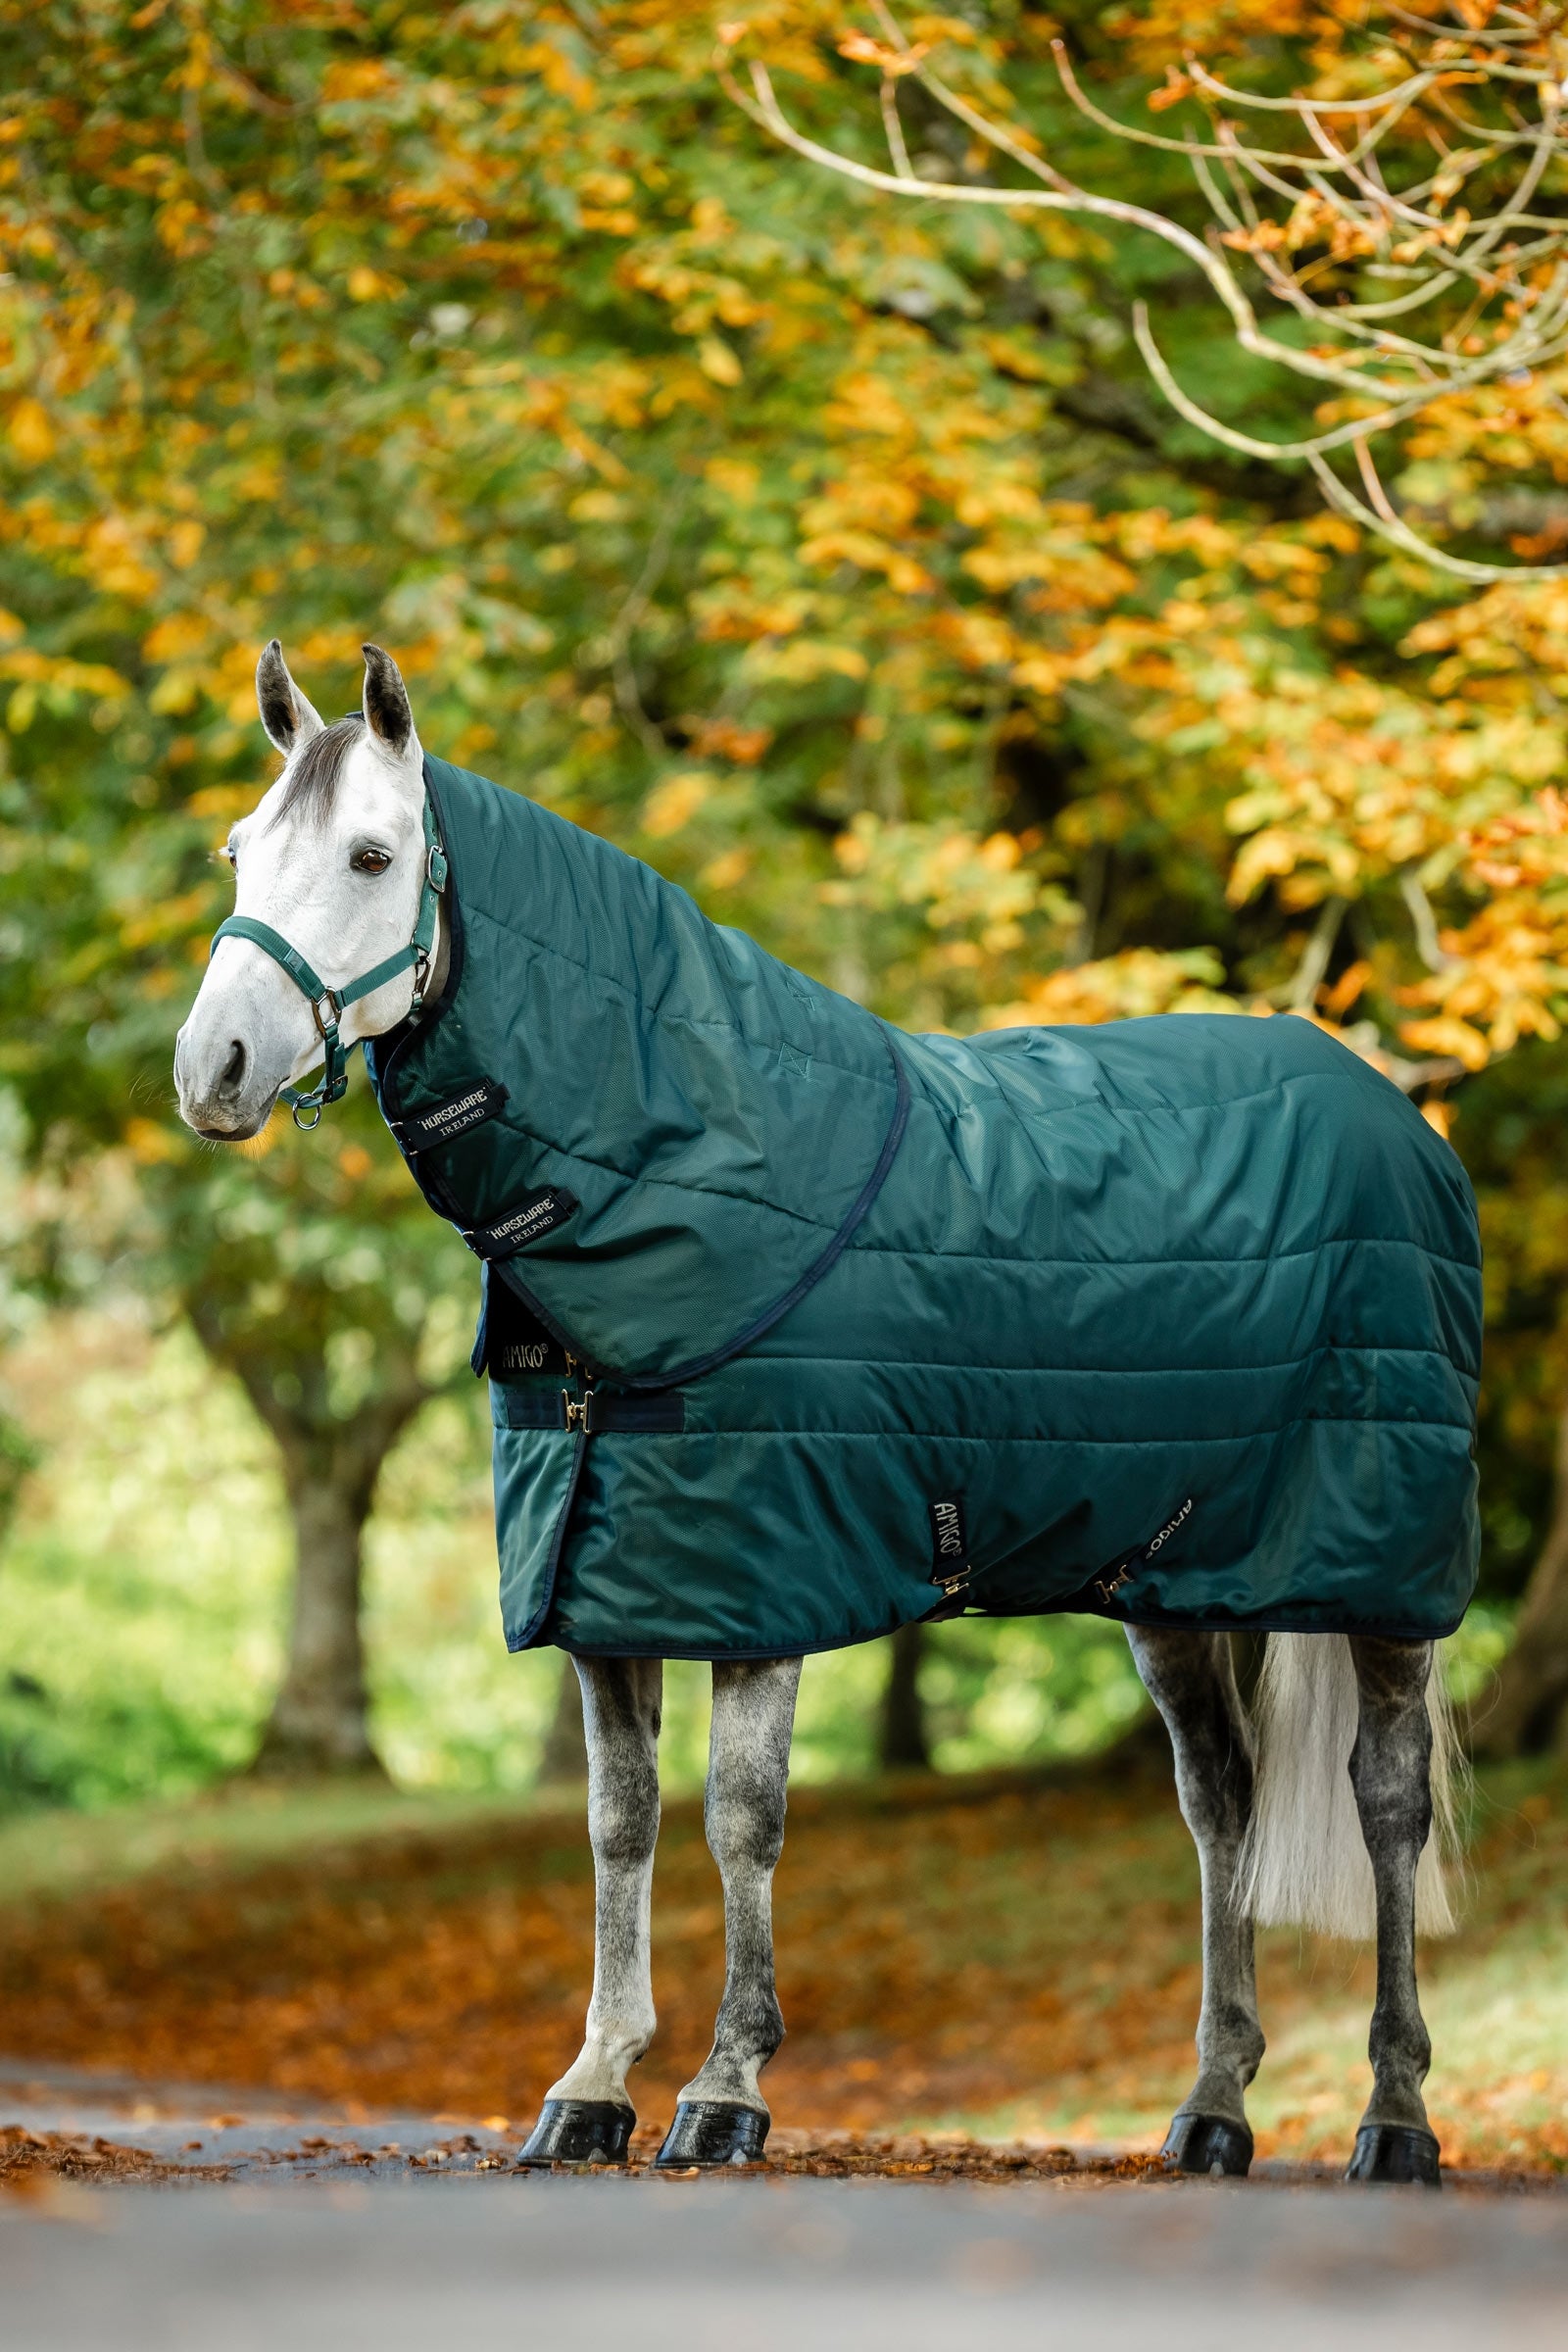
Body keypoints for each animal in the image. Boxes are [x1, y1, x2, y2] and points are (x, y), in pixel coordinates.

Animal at [174, 640, 1479, 2185]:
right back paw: (1212, 2110)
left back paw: (1394, 2117)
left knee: (1386, 1804)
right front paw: (591, 2086)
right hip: (1171, 1577)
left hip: (1385, 1576)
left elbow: (743, 1819)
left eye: (373, 855)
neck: (680, 1160)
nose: (212, 1070)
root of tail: (1394, 1116)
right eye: (240, 851)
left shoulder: (764, 1576)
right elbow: (619, 1823)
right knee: (1220, 1800)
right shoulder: (607, 1582)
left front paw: (725, 2090)